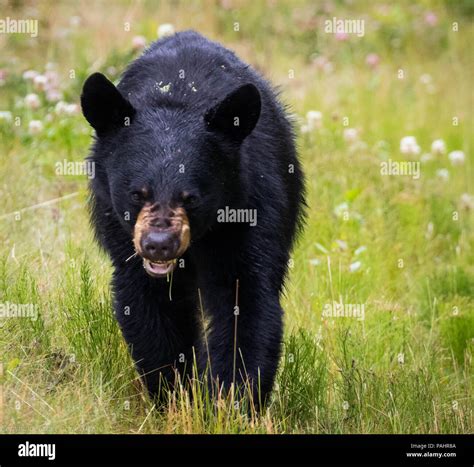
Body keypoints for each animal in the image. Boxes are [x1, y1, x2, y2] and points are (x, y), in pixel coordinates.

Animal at [80, 30, 306, 406]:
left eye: (191, 198)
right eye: (137, 193)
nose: (158, 245)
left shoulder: (250, 207)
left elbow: (245, 299)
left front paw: (232, 401)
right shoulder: (119, 228)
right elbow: (150, 308)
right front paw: (175, 395)